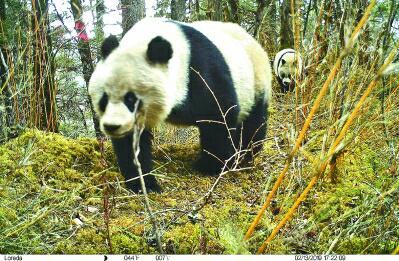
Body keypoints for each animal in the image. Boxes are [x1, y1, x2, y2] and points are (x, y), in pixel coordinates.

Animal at [89, 18, 274, 192]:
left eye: (131, 99)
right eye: (104, 98)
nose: (112, 126)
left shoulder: (201, 70)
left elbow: (218, 115)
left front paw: (209, 166)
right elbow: (132, 143)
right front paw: (143, 183)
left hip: (255, 79)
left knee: (253, 121)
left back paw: (245, 153)